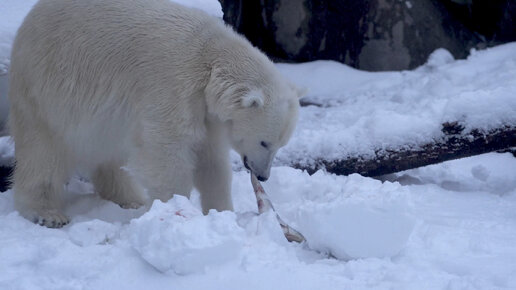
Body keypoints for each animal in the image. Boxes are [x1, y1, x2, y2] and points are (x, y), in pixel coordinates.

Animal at [8, 0, 300, 228]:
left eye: (280, 145)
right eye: (264, 142)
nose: (263, 176)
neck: (210, 58)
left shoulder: (206, 112)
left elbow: (211, 160)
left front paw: (223, 212)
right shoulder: (171, 85)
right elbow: (167, 153)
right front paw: (176, 211)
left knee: (108, 152)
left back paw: (129, 198)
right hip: (44, 87)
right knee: (43, 151)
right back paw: (48, 213)